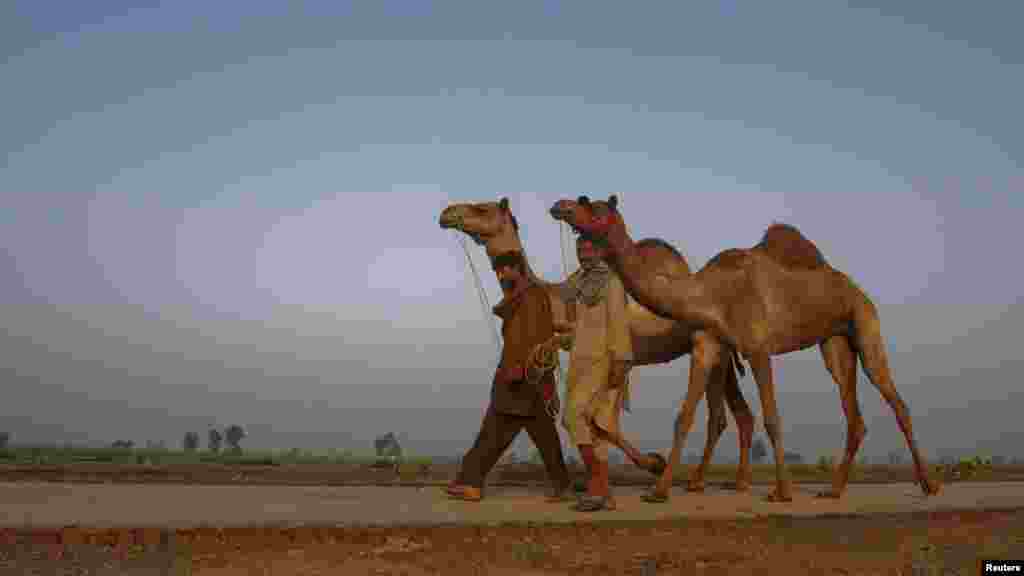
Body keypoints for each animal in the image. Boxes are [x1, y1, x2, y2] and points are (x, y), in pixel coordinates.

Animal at [444, 196, 757, 487]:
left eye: (482, 208)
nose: (447, 213)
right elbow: (598, 423)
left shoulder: (622, 359)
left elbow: (604, 423)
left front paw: (654, 463)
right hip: (720, 354)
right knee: (736, 413)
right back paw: (721, 480)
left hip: (712, 349)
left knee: (721, 414)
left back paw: (711, 481)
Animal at [552, 194, 942, 500]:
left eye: (596, 209)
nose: (561, 206)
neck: (711, 293)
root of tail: (855, 288)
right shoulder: (709, 344)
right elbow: (684, 417)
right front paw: (658, 490)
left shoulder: (757, 347)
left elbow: (771, 417)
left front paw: (782, 492)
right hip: (834, 342)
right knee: (853, 410)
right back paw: (833, 489)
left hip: (865, 322)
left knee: (895, 400)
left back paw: (928, 485)